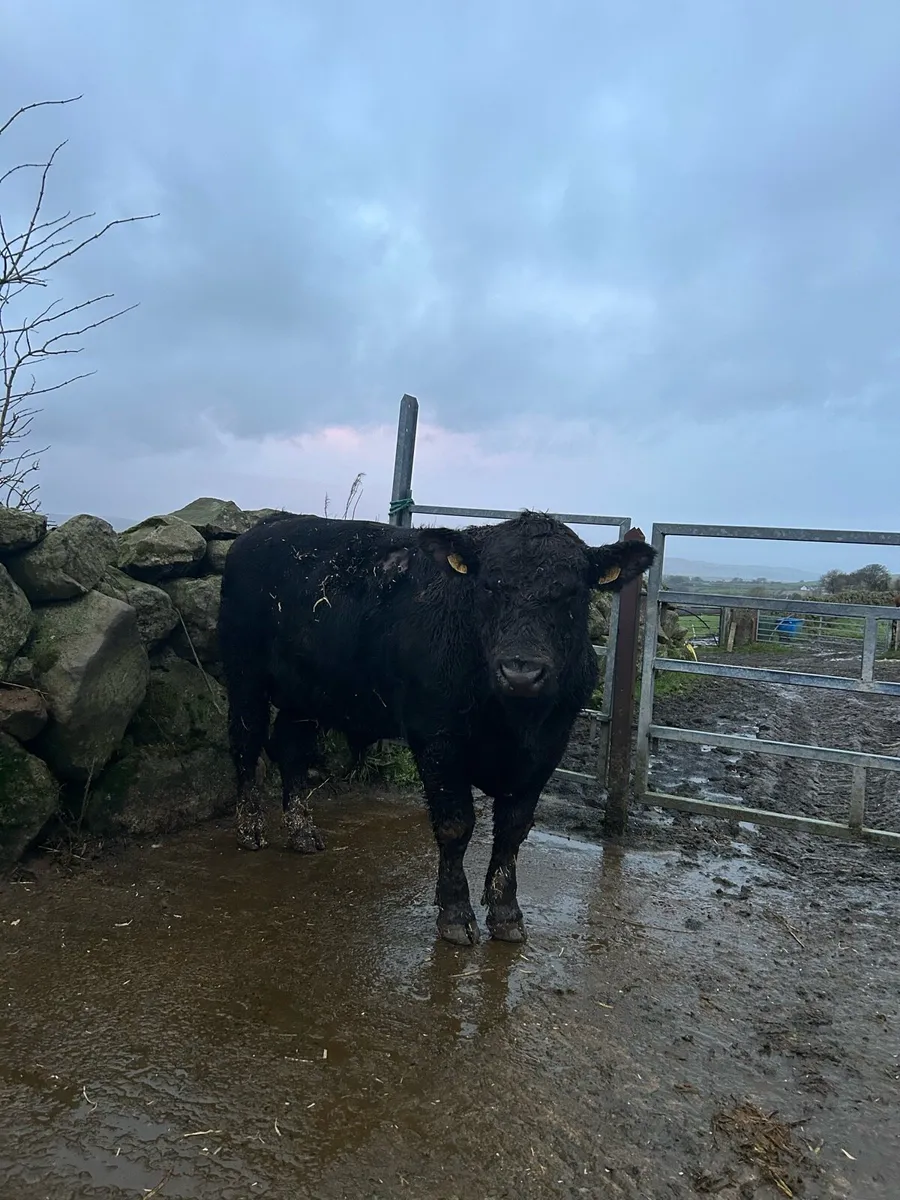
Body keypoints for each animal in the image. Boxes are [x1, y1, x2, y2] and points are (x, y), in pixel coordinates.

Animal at [217, 511, 655, 945]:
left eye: (571, 593)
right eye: (489, 586)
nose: (521, 672)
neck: (512, 722)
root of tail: (266, 527)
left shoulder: (549, 746)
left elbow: (513, 829)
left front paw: (506, 913)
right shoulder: (438, 741)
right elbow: (455, 826)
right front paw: (456, 913)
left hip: (308, 693)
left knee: (291, 748)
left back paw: (303, 831)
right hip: (245, 674)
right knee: (246, 741)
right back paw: (250, 828)